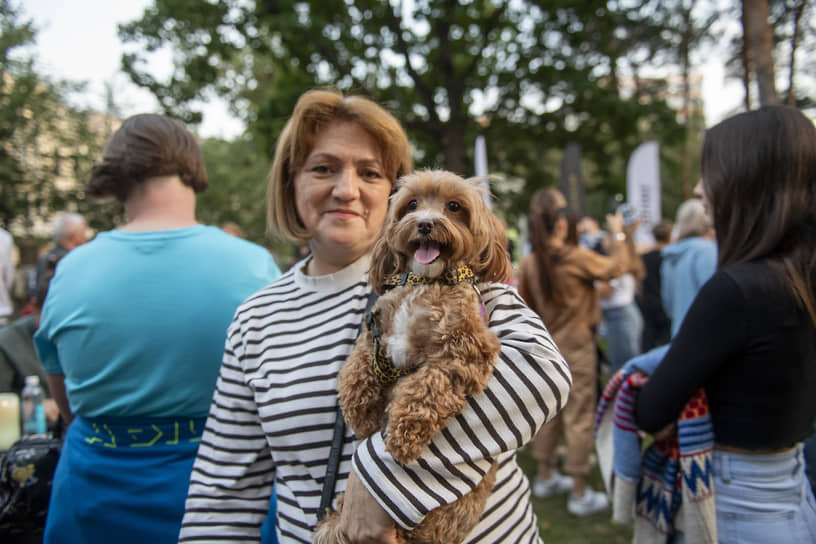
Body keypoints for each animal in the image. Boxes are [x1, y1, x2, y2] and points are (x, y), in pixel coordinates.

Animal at [312, 170, 510, 544]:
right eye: (412, 204)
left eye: (454, 206)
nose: (425, 224)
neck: (425, 282)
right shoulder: (378, 331)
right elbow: (357, 366)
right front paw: (359, 412)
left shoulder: (465, 350)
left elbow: (427, 388)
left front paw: (404, 436)